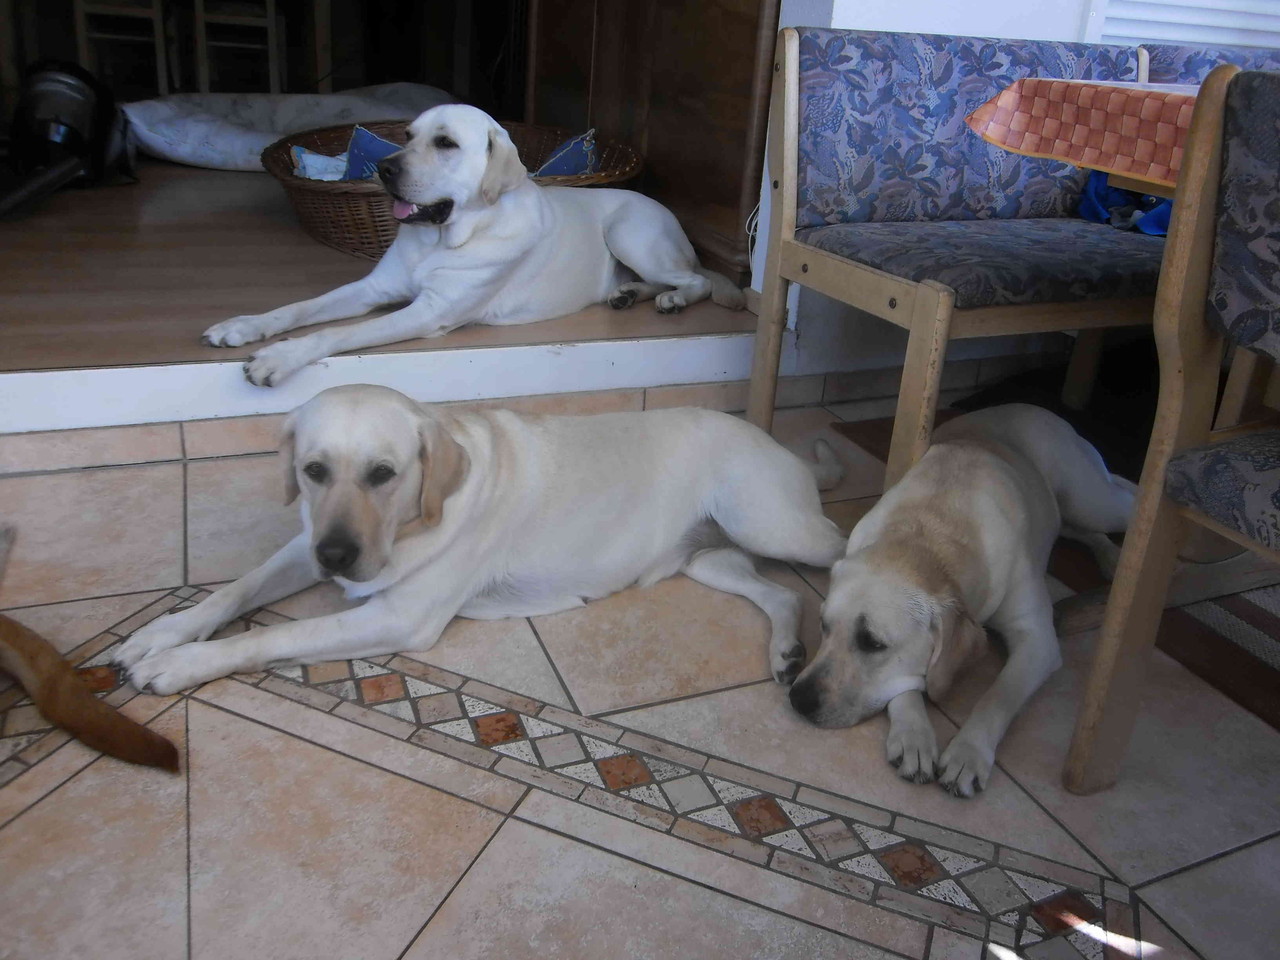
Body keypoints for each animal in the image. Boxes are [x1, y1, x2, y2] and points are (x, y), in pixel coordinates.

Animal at [112, 386, 849, 701]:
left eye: (383, 473)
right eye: (313, 470)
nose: (337, 558)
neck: (411, 523)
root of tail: (775, 442)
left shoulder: (397, 616)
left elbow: (273, 635)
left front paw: (180, 664)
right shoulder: (305, 542)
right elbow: (232, 592)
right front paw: (161, 634)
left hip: (773, 523)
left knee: (843, 548)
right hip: (709, 560)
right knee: (780, 594)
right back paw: (788, 650)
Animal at [200, 104, 747, 386]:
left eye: (445, 143)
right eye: (407, 135)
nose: (383, 168)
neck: (444, 238)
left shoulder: (428, 312)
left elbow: (334, 333)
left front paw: (278, 358)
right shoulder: (374, 288)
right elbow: (300, 308)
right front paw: (243, 326)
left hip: (629, 232)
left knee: (698, 279)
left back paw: (672, 299)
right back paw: (628, 294)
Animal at [783, 404, 1136, 798]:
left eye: (873, 643)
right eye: (823, 626)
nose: (798, 699)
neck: (929, 534)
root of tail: (1032, 406)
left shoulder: (1039, 639)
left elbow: (997, 696)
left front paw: (968, 754)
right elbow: (905, 686)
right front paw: (914, 736)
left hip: (1090, 499)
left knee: (1128, 496)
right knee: (1083, 529)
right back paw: (1110, 557)